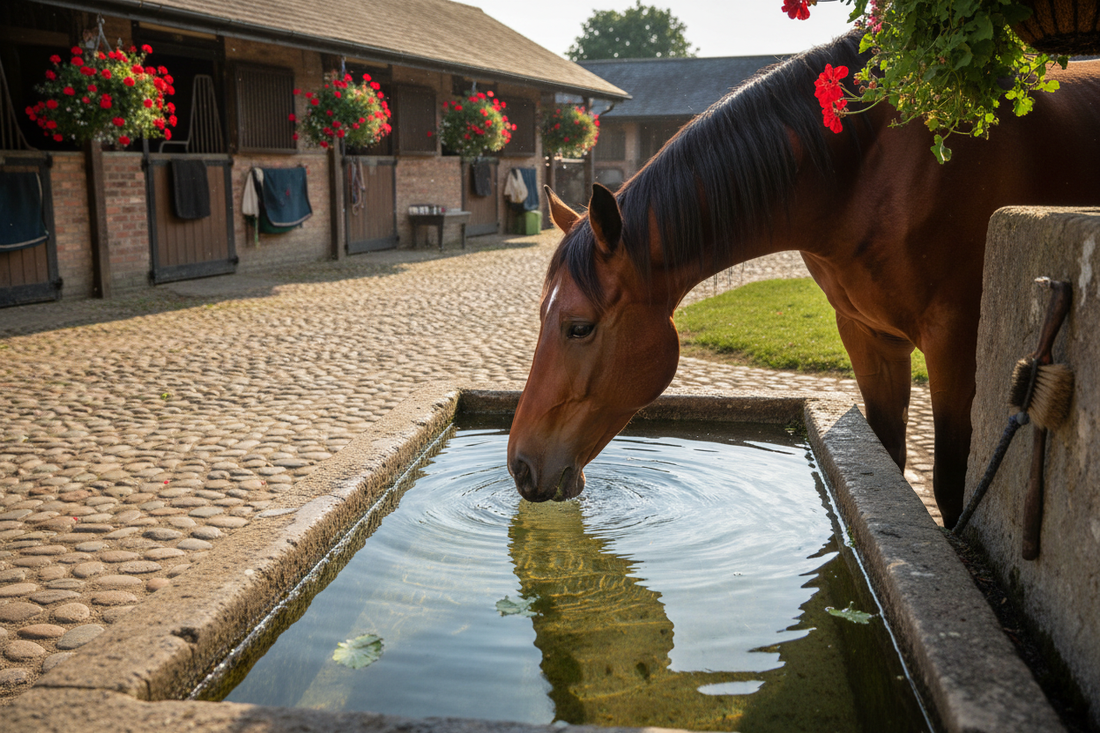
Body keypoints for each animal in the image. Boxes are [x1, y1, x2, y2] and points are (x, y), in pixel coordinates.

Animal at [507, 31, 1100, 528]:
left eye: (579, 327)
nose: (519, 467)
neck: (869, 169)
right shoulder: (867, 336)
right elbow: (886, 459)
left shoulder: (954, 341)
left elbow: (950, 486)